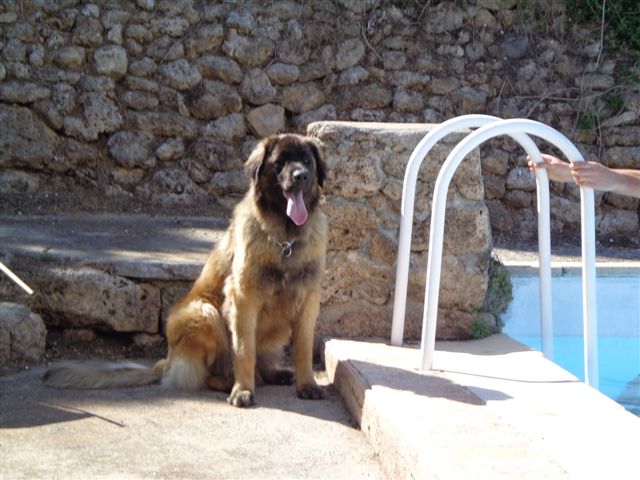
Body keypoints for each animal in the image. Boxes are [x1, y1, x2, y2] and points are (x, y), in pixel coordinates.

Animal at [43, 133, 330, 406]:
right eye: (280, 162)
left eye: (307, 161)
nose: (301, 176)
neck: (286, 240)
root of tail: (167, 361)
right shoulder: (244, 299)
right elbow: (244, 351)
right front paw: (243, 391)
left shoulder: (308, 300)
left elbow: (303, 349)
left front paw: (307, 385)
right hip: (202, 312)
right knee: (208, 374)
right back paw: (232, 382)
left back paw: (274, 374)